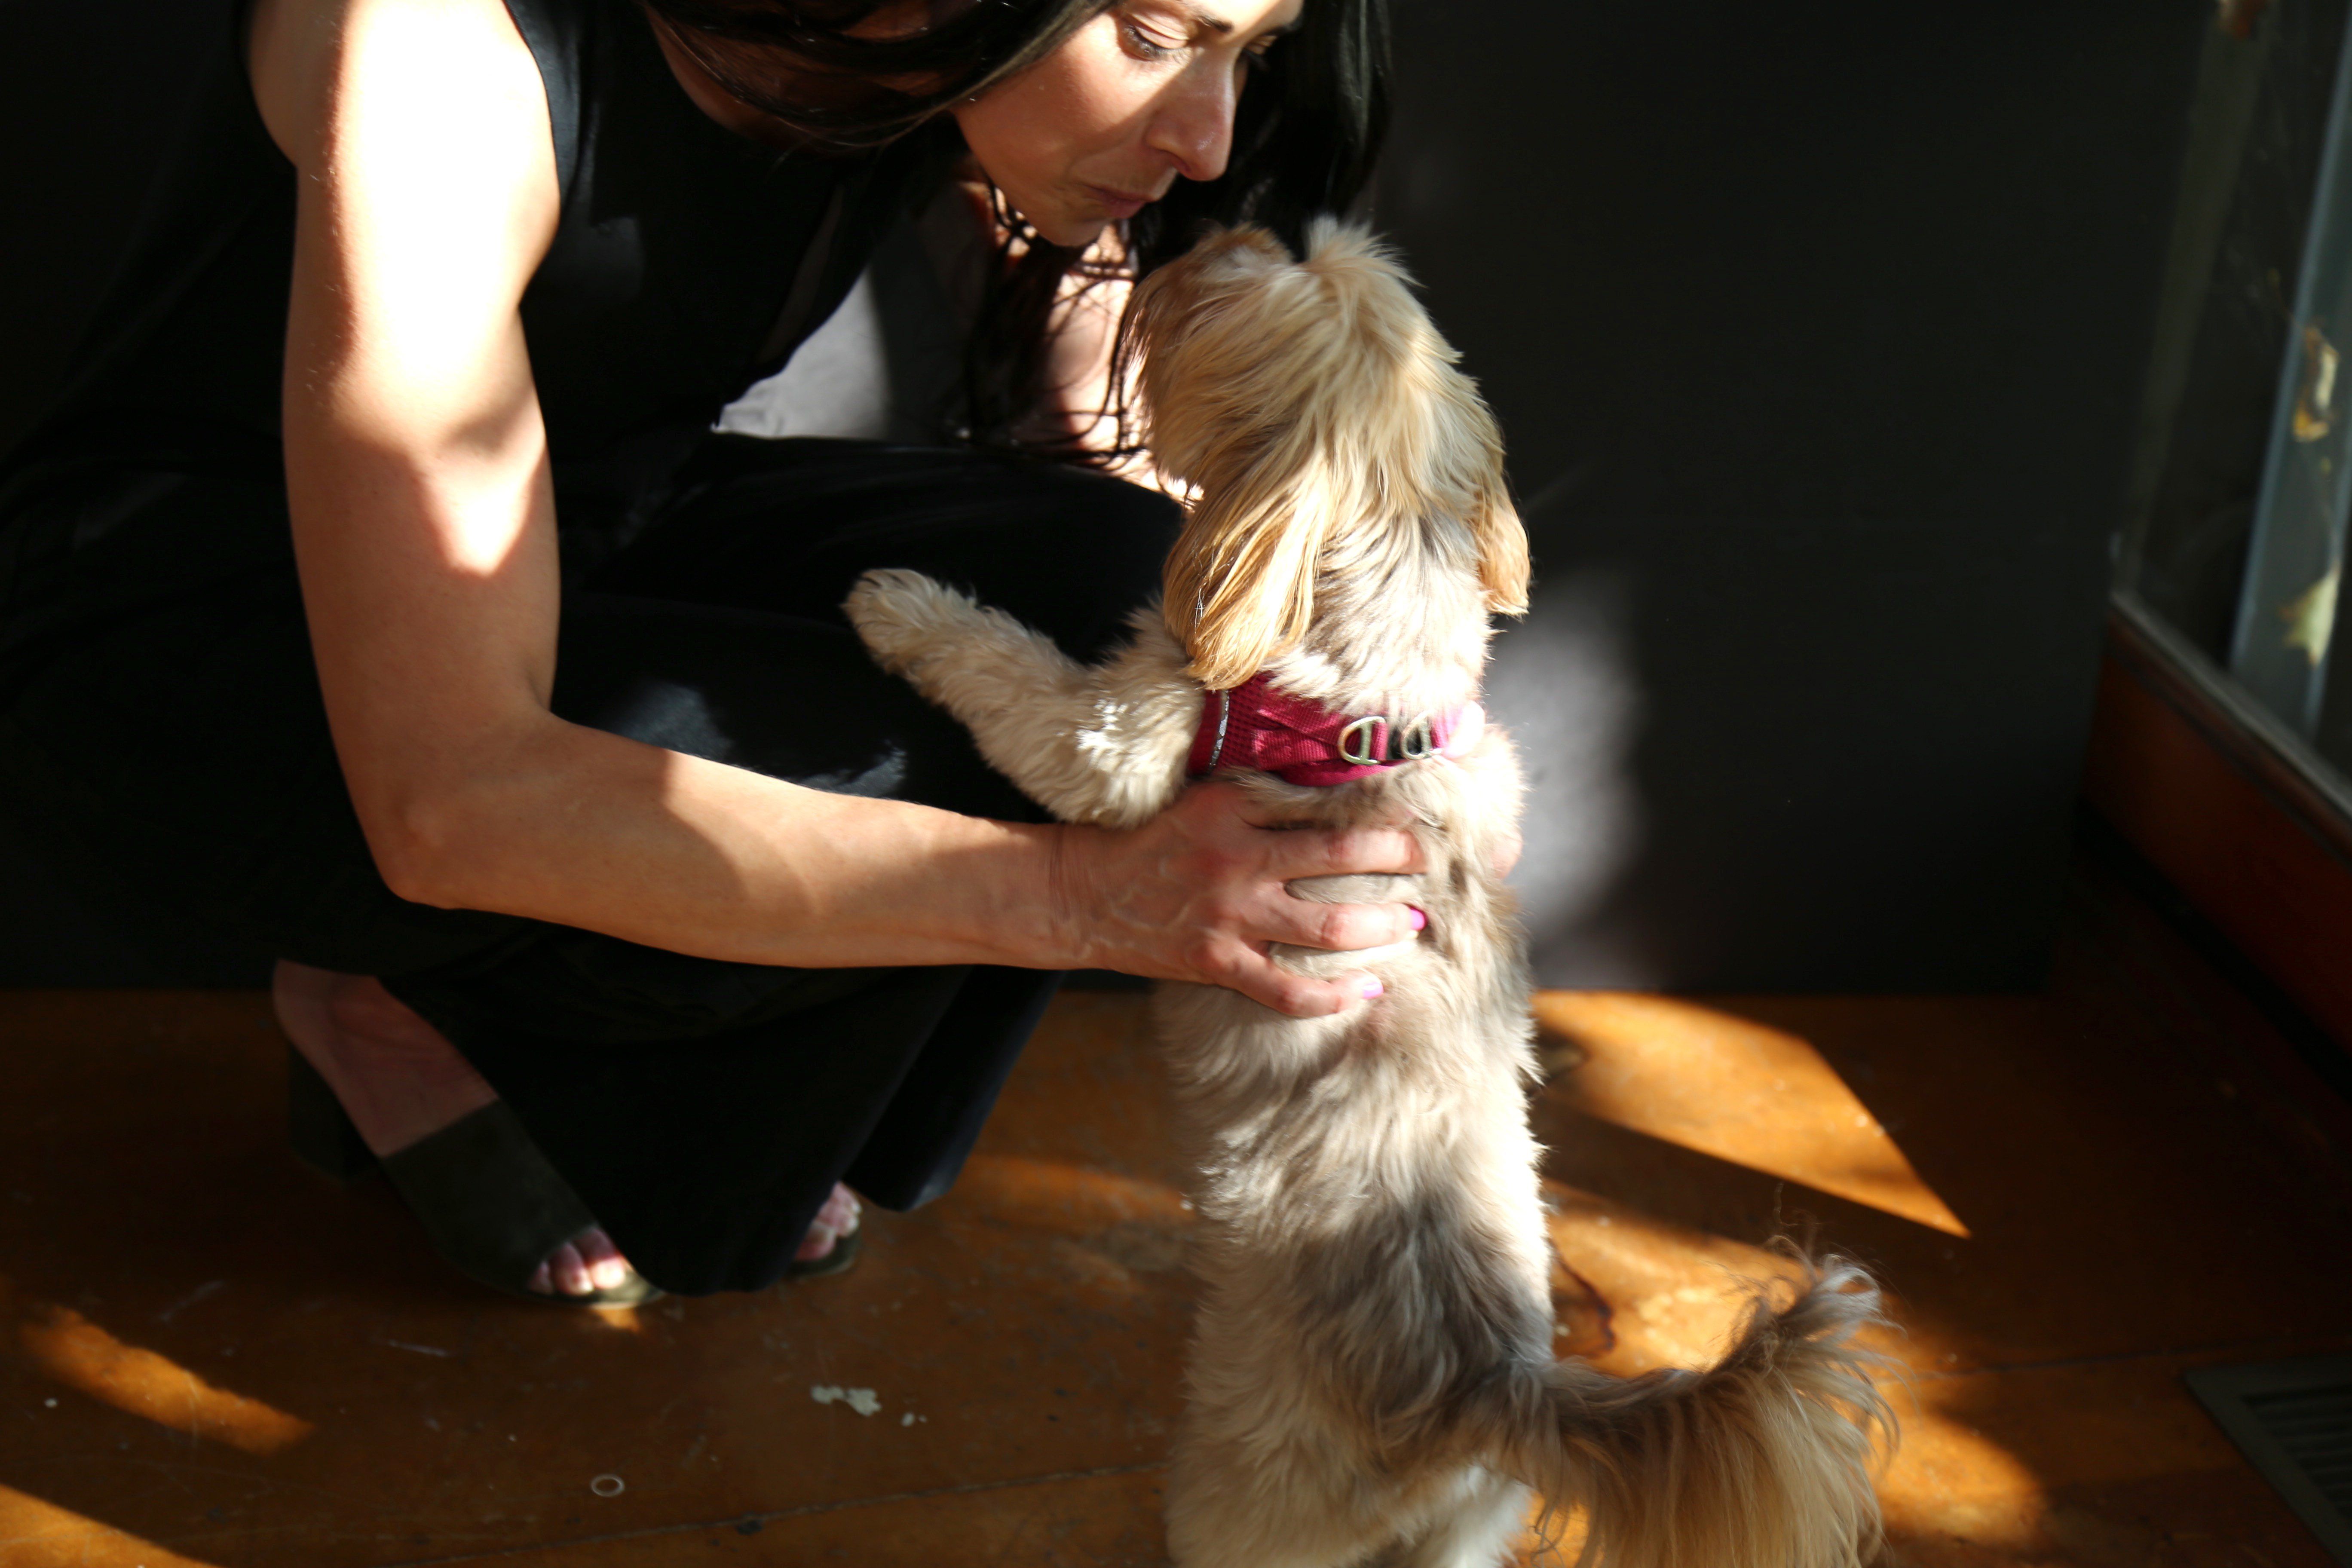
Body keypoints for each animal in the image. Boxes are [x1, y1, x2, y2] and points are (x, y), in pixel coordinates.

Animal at [846, 220, 1894, 1568]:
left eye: (1233, 297)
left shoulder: (1119, 738)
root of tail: (1491, 1388)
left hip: (1248, 1492)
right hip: (1469, 1524)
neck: (1368, 706)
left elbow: (1009, 673)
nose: (1224, 227)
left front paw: (901, 607)